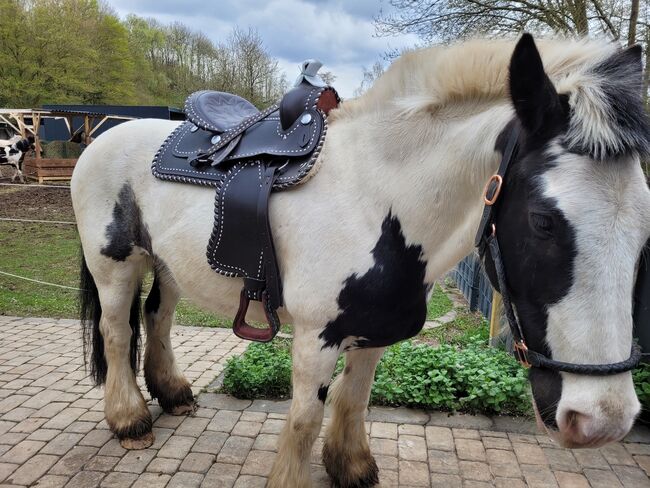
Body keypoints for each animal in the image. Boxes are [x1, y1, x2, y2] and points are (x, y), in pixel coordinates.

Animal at [71, 35, 648, 488]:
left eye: (644, 224)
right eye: (543, 221)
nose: (602, 420)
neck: (375, 198)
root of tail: (105, 136)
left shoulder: (374, 334)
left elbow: (352, 401)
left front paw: (350, 466)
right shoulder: (314, 339)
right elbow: (305, 418)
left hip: (167, 265)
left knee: (158, 318)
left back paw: (173, 394)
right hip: (115, 266)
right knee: (118, 332)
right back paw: (129, 421)